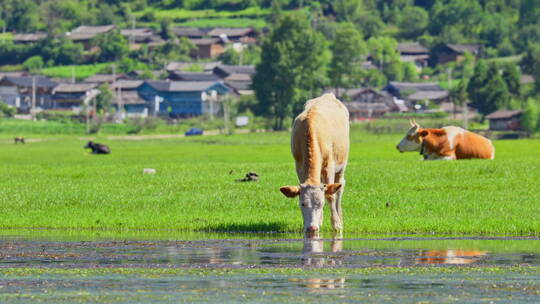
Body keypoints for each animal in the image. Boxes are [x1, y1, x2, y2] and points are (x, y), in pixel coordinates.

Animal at [278, 93, 350, 235]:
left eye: (321, 203)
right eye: (302, 204)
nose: (312, 228)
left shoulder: (329, 166)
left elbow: (330, 196)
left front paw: (336, 225)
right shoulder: (299, 166)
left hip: (341, 165)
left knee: (340, 187)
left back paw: (339, 216)